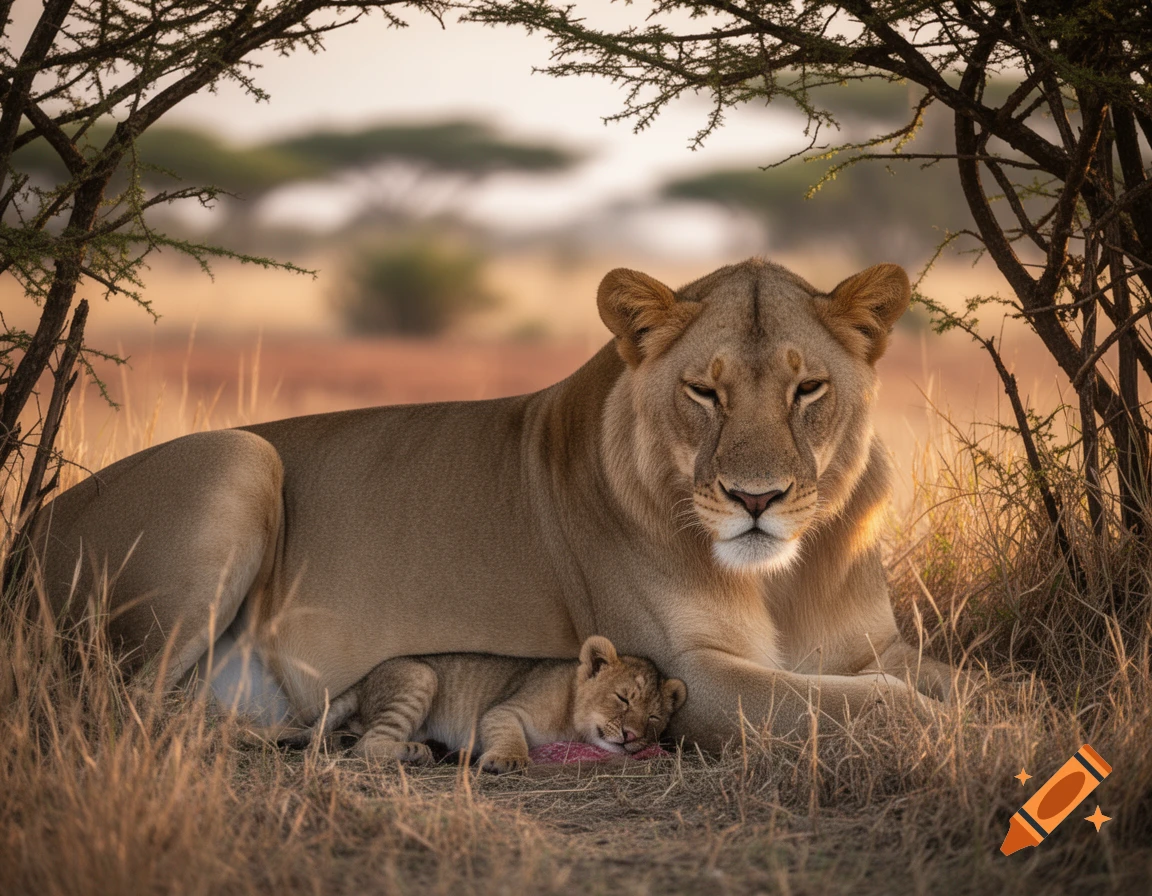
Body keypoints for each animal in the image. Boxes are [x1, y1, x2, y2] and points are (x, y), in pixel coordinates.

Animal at [32, 258, 954, 750]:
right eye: (704, 392)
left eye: (808, 389)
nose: (754, 499)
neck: (785, 576)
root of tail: (27, 528)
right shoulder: (689, 675)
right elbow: (875, 704)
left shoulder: (877, 645)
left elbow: (955, 679)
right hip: (238, 456)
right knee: (113, 708)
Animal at [279, 635, 686, 773]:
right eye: (623, 697)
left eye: (653, 717)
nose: (632, 737)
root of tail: (365, 677)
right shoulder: (505, 710)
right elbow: (509, 732)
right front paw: (507, 759)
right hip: (420, 675)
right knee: (365, 745)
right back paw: (414, 751)